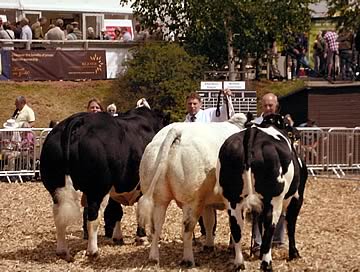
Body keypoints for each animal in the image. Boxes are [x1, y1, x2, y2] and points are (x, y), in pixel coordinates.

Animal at [40, 105, 169, 262]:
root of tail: (78, 120)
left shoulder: (116, 189)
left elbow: (115, 211)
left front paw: (118, 237)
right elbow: (140, 211)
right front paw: (141, 237)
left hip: (56, 187)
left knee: (58, 215)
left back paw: (62, 250)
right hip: (97, 189)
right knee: (93, 217)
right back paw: (93, 251)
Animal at [138, 113, 248, 268]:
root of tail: (177, 130)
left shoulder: (207, 201)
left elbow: (209, 221)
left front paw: (209, 245)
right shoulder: (234, 200)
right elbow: (235, 224)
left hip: (159, 198)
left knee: (156, 225)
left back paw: (153, 258)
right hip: (191, 201)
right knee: (187, 228)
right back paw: (188, 260)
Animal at [215, 113, 308, 270]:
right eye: (288, 126)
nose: (298, 133)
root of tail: (252, 132)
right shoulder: (297, 197)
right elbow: (291, 225)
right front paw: (294, 253)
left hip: (232, 200)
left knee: (236, 228)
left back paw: (239, 263)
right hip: (274, 200)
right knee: (270, 226)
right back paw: (266, 263)